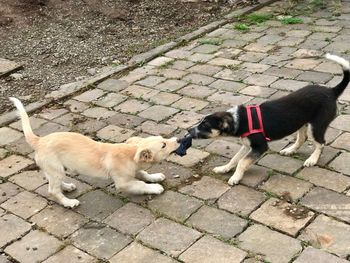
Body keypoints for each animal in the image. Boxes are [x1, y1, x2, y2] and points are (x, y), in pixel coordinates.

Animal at [10, 98, 180, 209]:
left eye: (163, 139)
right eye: (164, 145)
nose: (178, 139)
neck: (129, 154)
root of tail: (39, 140)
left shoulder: (134, 169)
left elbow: (144, 174)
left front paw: (155, 176)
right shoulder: (123, 182)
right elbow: (140, 184)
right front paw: (155, 188)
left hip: (55, 169)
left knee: (51, 181)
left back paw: (67, 187)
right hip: (55, 168)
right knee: (52, 190)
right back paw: (68, 202)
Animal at [190, 53, 348, 186]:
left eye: (204, 125)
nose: (188, 131)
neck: (239, 119)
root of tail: (331, 91)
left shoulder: (260, 146)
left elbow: (242, 162)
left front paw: (235, 177)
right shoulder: (247, 145)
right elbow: (235, 158)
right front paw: (224, 168)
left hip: (316, 125)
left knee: (320, 143)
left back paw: (312, 159)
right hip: (302, 122)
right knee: (302, 138)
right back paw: (290, 150)